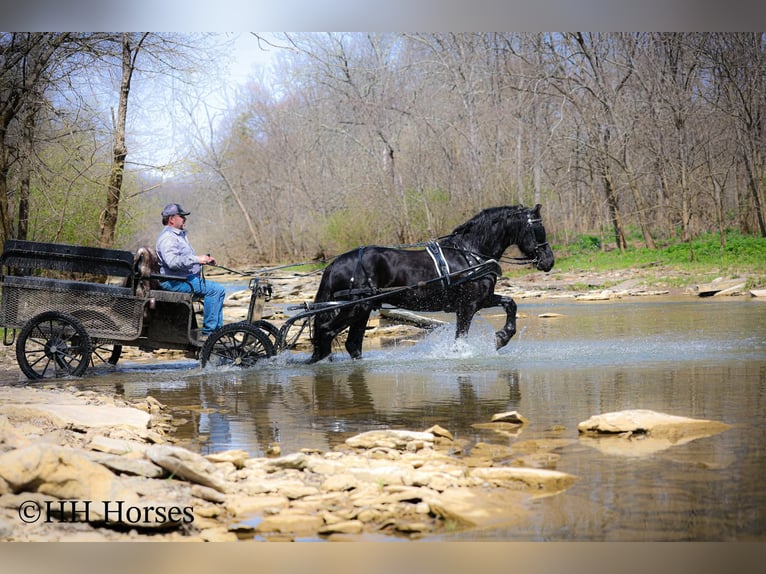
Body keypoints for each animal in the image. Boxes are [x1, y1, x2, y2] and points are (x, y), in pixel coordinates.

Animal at [308, 204, 555, 363]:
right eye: (537, 229)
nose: (549, 260)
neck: (471, 254)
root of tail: (334, 264)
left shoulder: (482, 300)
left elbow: (511, 303)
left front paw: (501, 338)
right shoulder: (467, 306)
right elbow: (460, 337)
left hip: (363, 309)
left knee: (352, 344)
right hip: (355, 308)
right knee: (326, 332)